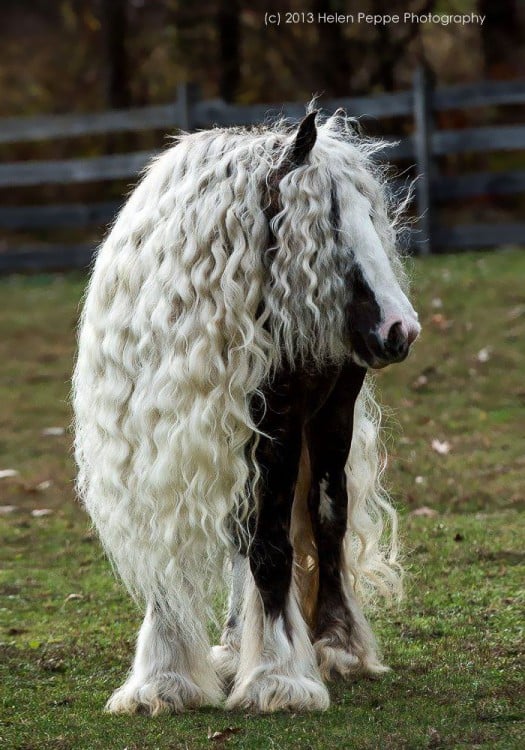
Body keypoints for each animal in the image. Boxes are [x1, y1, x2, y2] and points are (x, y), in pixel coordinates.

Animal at [72, 107, 418, 716]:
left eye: (371, 217)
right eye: (329, 224)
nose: (400, 329)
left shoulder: (276, 429)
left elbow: (274, 546)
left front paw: (278, 676)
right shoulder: (158, 447)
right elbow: (181, 549)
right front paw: (164, 679)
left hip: (329, 418)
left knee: (326, 517)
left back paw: (335, 645)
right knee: (244, 530)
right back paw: (236, 646)